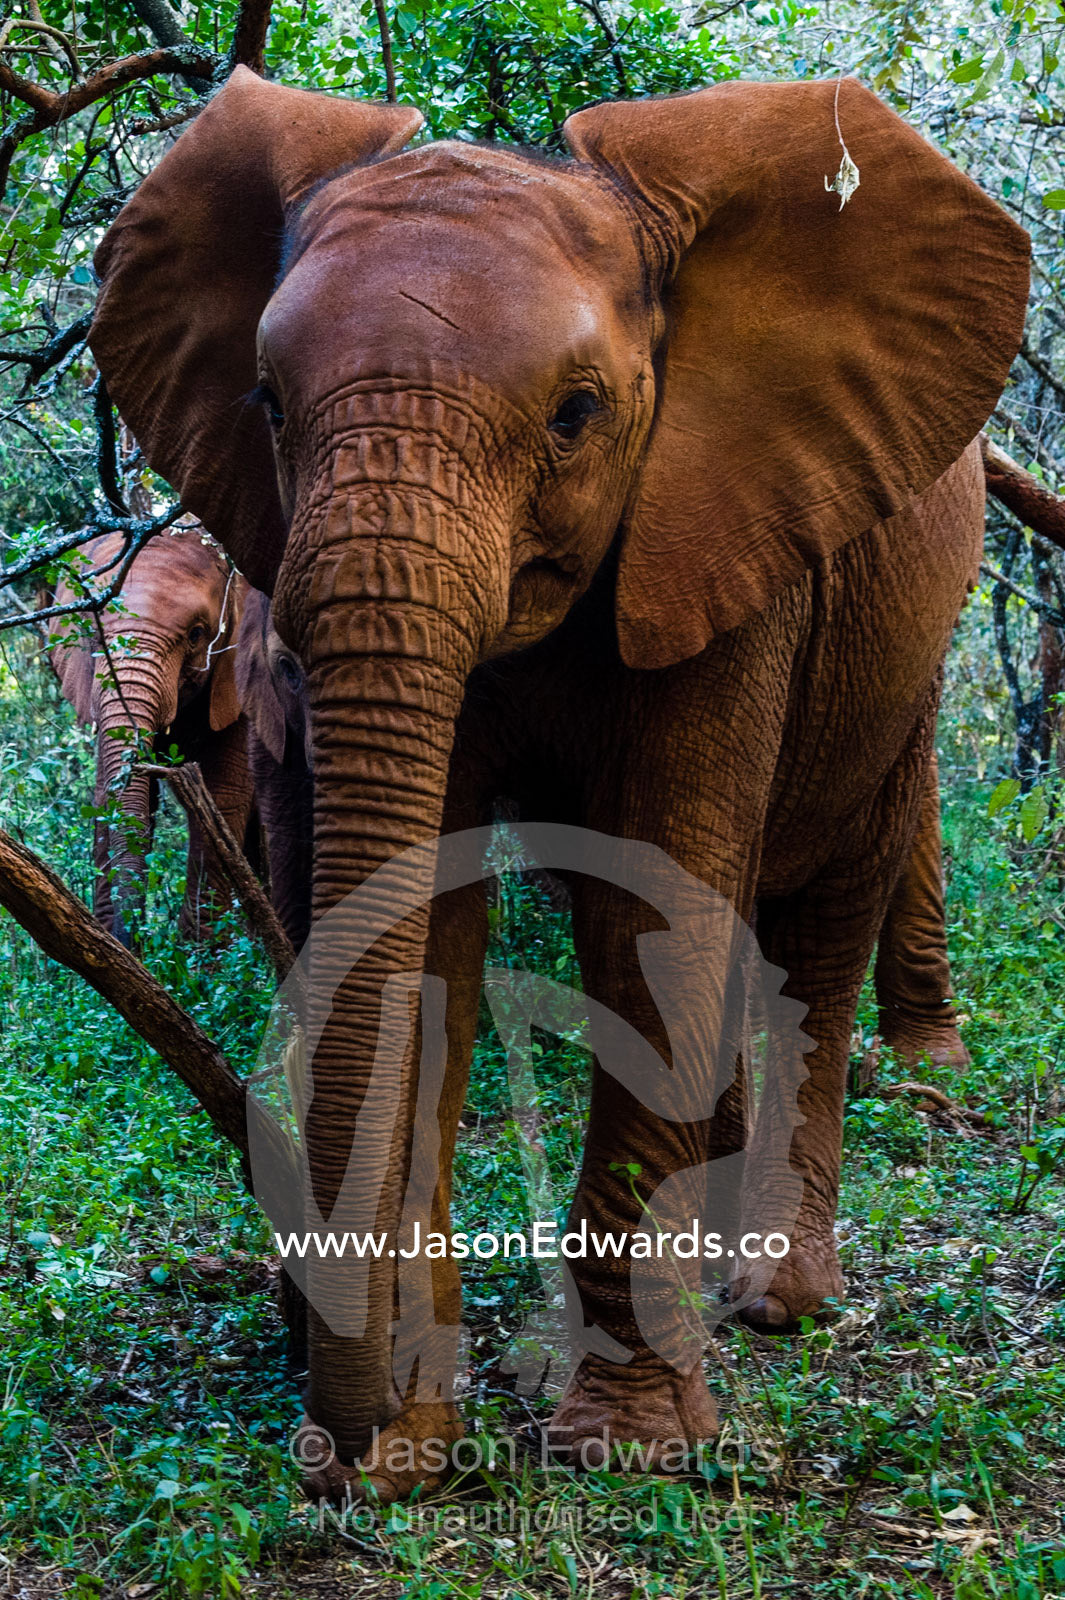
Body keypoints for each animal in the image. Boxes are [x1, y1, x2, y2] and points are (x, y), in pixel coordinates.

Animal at [50, 520, 254, 943]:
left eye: (197, 634)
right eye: (91, 634)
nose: (132, 940)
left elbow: (221, 795)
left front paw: (200, 958)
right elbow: (107, 792)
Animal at [88, 68, 1028, 1498]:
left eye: (577, 416)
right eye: (267, 403)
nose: (352, 1459)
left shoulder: (727, 525)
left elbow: (655, 914)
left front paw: (625, 1447)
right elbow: (432, 929)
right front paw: (426, 1431)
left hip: (904, 647)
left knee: (821, 912)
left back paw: (776, 1301)